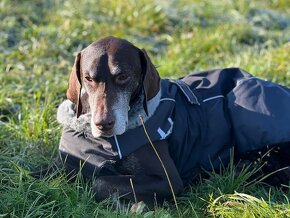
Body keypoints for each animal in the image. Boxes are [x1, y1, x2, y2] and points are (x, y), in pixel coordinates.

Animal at [32, 36, 290, 206]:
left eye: (123, 76)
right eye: (88, 78)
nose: (103, 124)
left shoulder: (168, 180)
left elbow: (100, 182)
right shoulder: (64, 164)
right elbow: (32, 174)